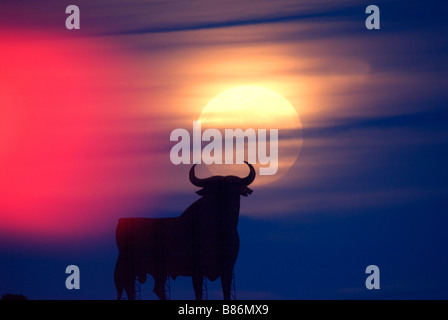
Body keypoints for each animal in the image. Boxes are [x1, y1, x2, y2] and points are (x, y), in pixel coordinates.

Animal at [114, 162, 258, 300]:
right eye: (213, 190)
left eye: (231, 189)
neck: (218, 230)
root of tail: (121, 222)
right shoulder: (197, 270)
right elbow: (198, 292)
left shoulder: (227, 269)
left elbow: (226, 292)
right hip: (129, 268)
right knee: (130, 288)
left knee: (155, 288)